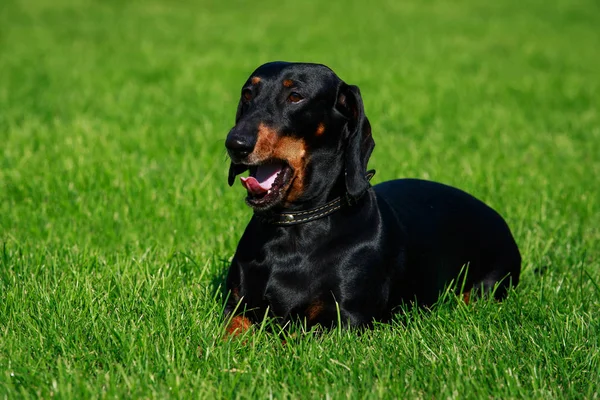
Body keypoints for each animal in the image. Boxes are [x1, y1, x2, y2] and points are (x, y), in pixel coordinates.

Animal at [224, 61, 520, 332]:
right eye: (248, 93)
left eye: (295, 96)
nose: (235, 143)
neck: (294, 227)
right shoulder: (236, 308)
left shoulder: (345, 320)